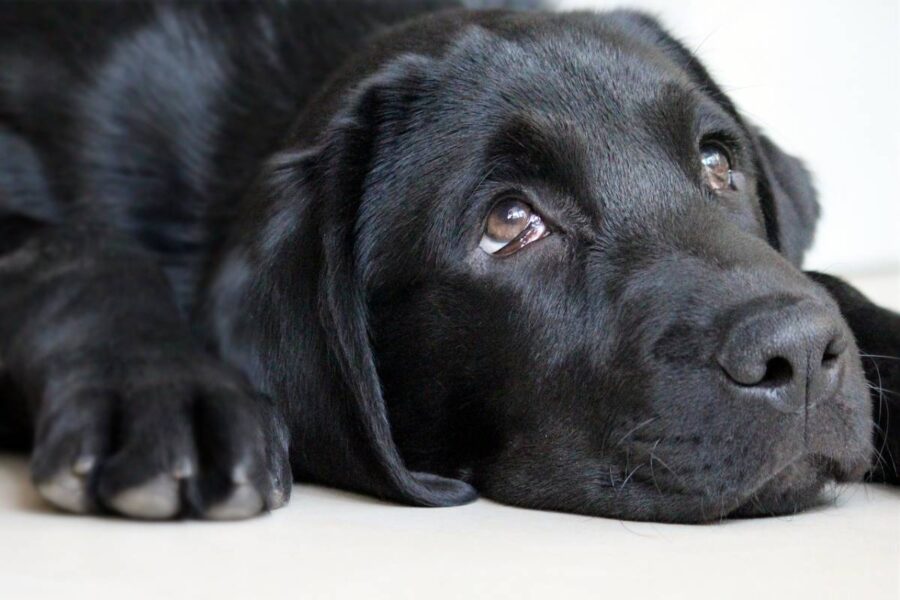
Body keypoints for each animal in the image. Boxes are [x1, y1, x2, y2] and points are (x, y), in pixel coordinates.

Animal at [0, 2, 896, 524]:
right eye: (509, 221)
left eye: (718, 162)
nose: (799, 357)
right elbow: (70, 244)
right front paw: (159, 385)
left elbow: (833, 287)